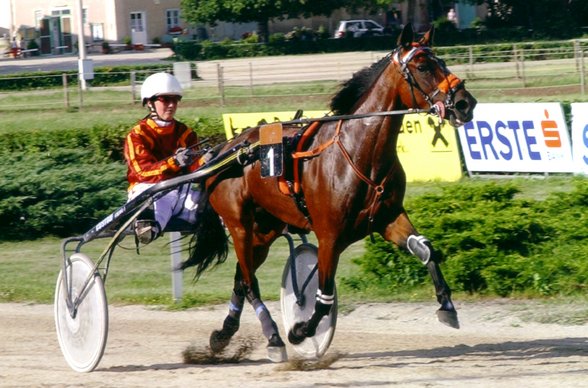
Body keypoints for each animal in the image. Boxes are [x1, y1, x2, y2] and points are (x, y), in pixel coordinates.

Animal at [183, 24, 478, 362]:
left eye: (441, 61)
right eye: (422, 66)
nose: (465, 103)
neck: (359, 152)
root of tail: (223, 150)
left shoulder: (388, 218)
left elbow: (426, 249)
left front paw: (447, 305)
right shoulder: (330, 236)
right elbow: (323, 297)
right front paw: (300, 330)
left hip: (264, 229)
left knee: (240, 278)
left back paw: (222, 336)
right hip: (239, 224)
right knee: (249, 282)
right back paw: (273, 337)